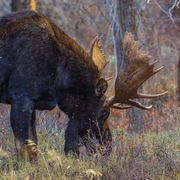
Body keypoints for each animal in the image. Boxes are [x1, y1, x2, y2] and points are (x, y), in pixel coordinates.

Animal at [0, 10, 167, 161]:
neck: (59, 77)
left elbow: (33, 146)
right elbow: (23, 149)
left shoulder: (32, 103)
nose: (108, 147)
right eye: (105, 113)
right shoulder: (21, 97)